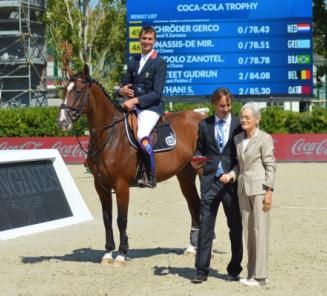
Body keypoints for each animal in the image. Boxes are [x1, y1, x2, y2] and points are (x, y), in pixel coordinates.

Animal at [57, 64, 204, 264]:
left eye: (78, 91)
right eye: (65, 90)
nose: (62, 121)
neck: (110, 135)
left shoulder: (121, 185)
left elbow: (121, 220)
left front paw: (121, 254)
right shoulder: (100, 185)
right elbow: (107, 219)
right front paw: (107, 253)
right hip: (185, 175)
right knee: (194, 205)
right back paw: (192, 248)